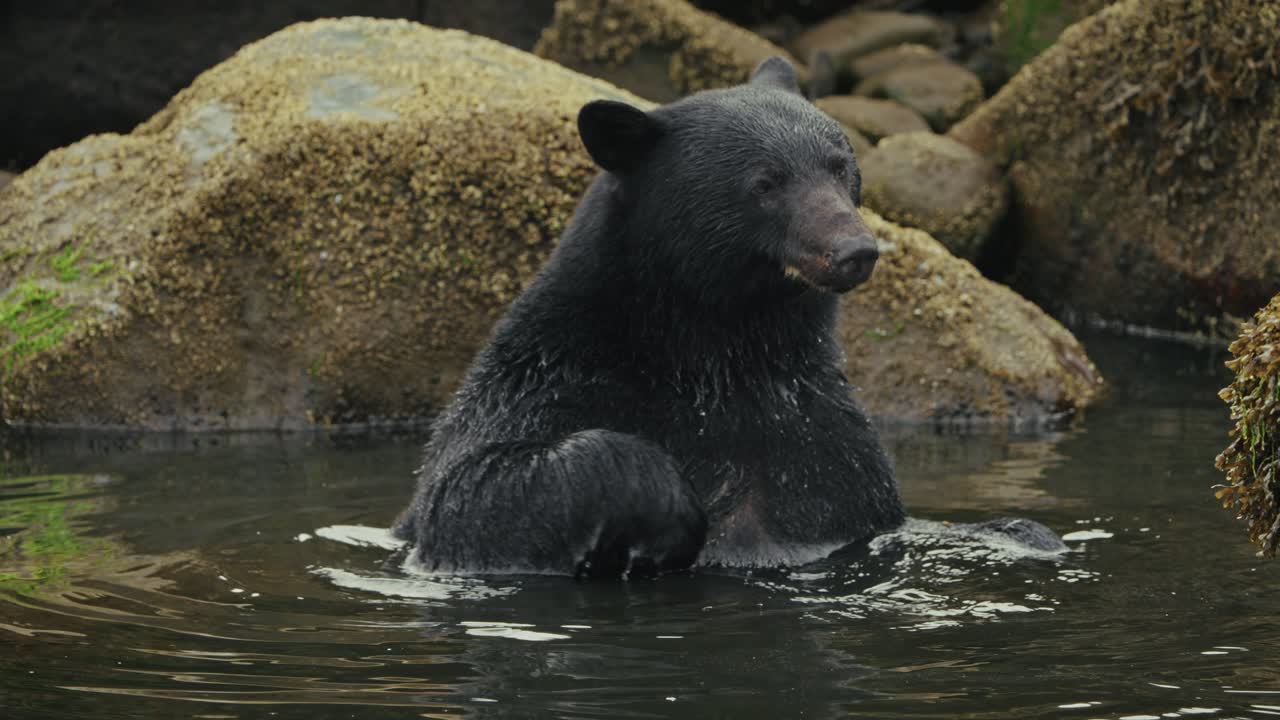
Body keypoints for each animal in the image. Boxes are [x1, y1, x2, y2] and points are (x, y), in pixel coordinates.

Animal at [393, 56, 905, 579]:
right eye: (765, 183)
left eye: (840, 168)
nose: (853, 250)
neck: (711, 354)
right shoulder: (534, 388)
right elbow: (467, 491)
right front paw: (671, 506)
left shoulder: (821, 437)